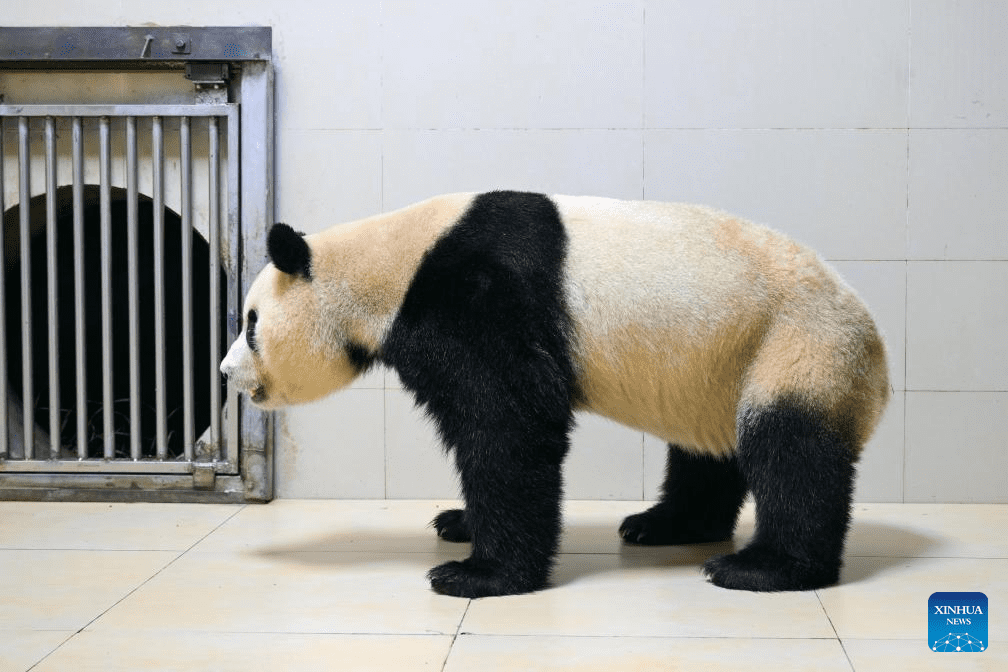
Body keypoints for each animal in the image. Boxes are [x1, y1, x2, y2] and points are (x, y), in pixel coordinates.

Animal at [220, 189, 891, 600]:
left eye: (250, 324)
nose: (227, 373)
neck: (391, 265)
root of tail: (879, 357)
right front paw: (458, 522)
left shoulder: (479, 293)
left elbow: (509, 424)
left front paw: (478, 574)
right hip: (718, 366)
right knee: (707, 451)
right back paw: (664, 525)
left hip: (797, 344)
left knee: (793, 453)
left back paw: (762, 566)